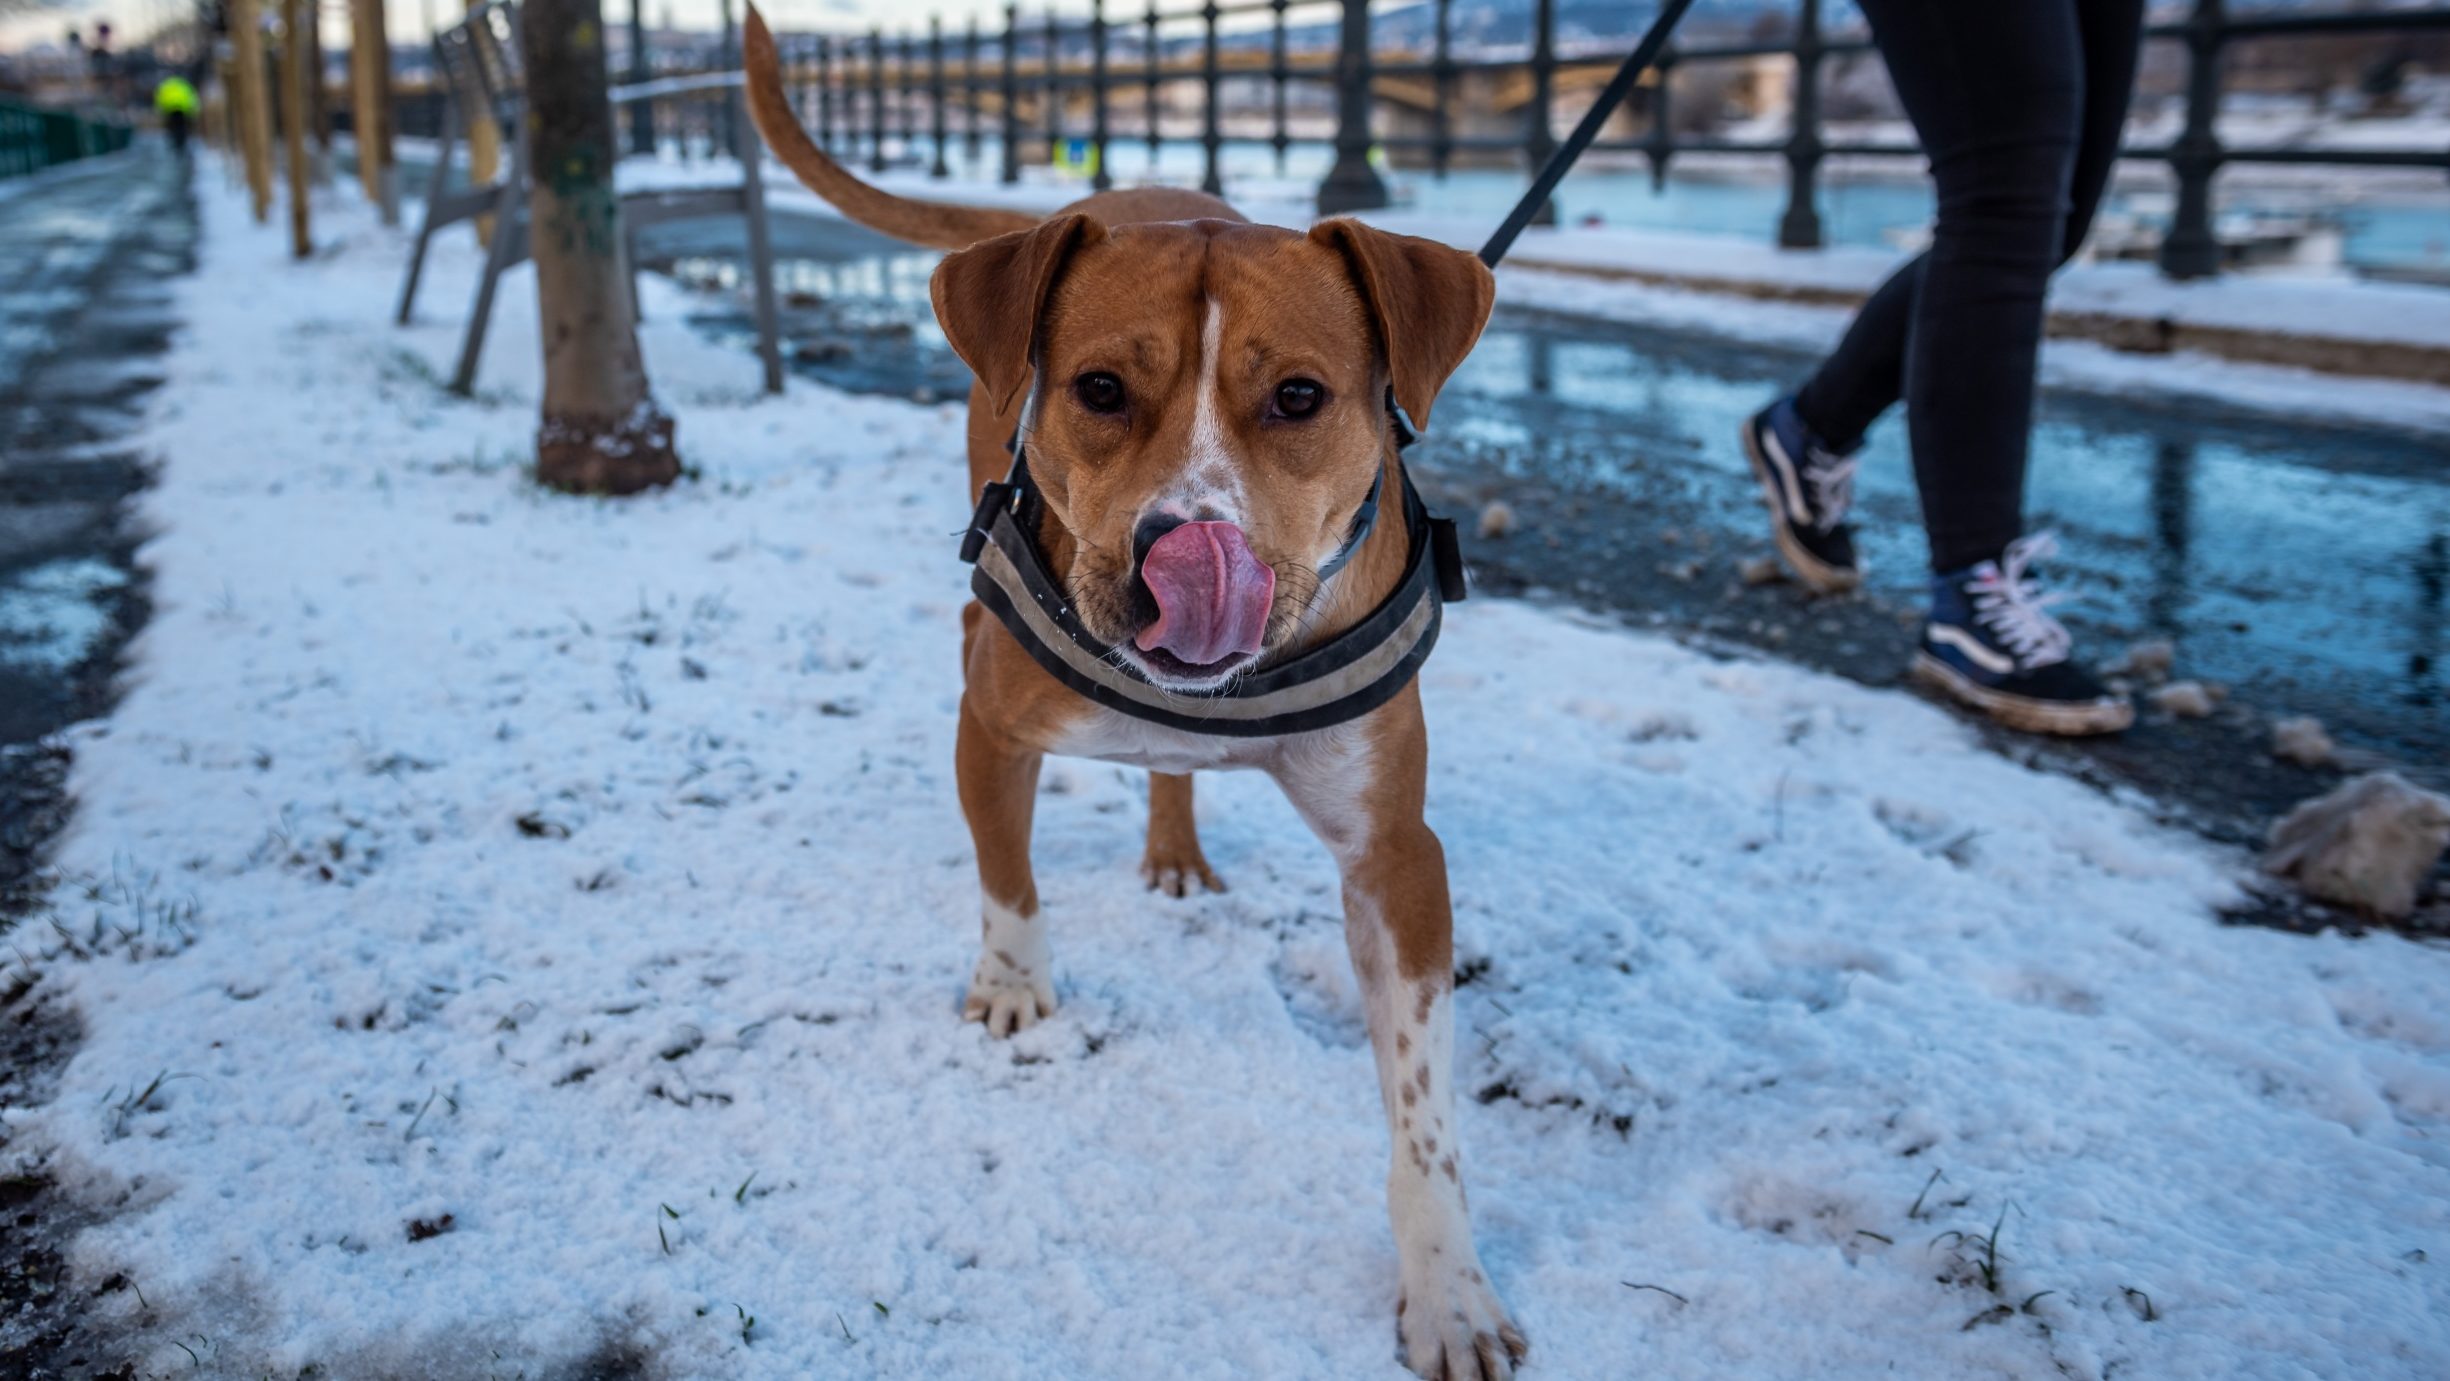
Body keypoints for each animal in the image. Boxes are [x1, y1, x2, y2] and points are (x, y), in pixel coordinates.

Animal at [735, 13, 1519, 1381]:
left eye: (1300, 397)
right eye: (1097, 389)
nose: (1178, 550)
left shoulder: (1395, 855)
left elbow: (1422, 1112)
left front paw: (1447, 1289)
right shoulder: (989, 719)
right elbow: (1006, 872)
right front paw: (1010, 983)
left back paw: (1174, 844)